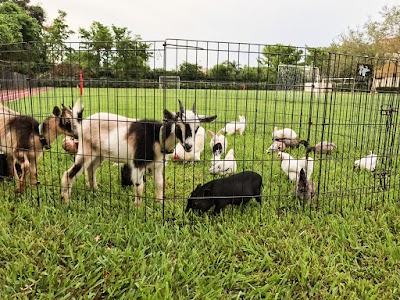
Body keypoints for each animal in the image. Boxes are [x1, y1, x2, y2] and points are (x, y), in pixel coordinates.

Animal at [61, 99, 217, 205]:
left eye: (197, 127)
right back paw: (67, 201)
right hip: (86, 150)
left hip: (99, 154)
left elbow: (159, 184)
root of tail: (82, 124)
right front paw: (138, 208)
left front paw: (160, 204)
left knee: (91, 170)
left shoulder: (158, 165)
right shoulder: (138, 163)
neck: (157, 137)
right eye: (179, 126)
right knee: (70, 173)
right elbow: (139, 187)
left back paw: (95, 190)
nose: (189, 146)